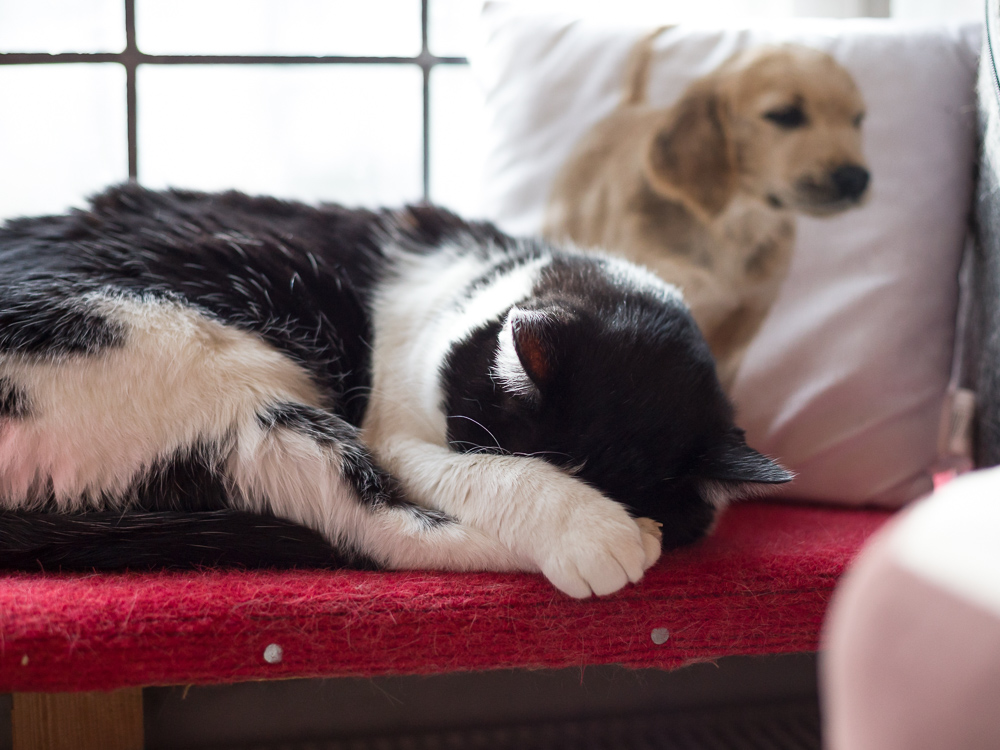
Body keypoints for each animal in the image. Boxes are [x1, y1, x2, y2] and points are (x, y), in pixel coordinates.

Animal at [0, 187, 792, 600]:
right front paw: (592, 528)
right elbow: (472, 472)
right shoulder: (398, 431)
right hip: (210, 373)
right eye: (499, 437)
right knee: (369, 525)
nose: (619, 512)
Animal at [548, 29, 868, 390]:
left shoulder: (749, 312)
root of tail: (631, 106)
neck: (733, 224)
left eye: (858, 120)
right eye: (785, 115)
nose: (857, 179)